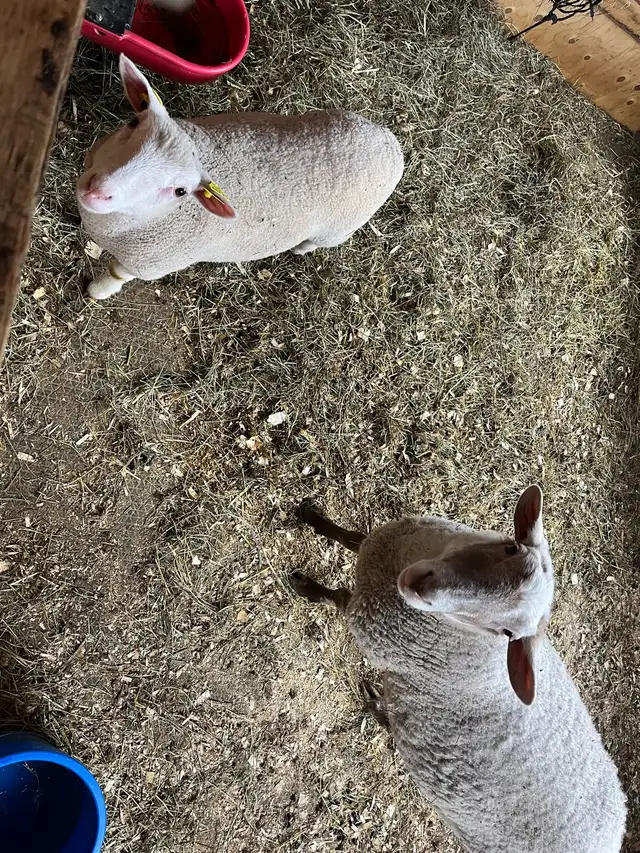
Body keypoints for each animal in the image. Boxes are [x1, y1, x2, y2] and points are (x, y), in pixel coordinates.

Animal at [77, 56, 404, 300]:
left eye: (180, 191)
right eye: (133, 122)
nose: (97, 191)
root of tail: (390, 141)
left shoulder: (147, 264)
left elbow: (116, 276)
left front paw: (96, 291)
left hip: (338, 229)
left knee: (322, 241)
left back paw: (301, 248)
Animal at [290, 487, 627, 853]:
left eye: (506, 633)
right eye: (511, 547)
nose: (423, 588)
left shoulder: (368, 621)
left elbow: (336, 595)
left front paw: (306, 586)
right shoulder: (383, 545)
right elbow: (351, 537)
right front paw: (312, 517)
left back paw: (377, 704)